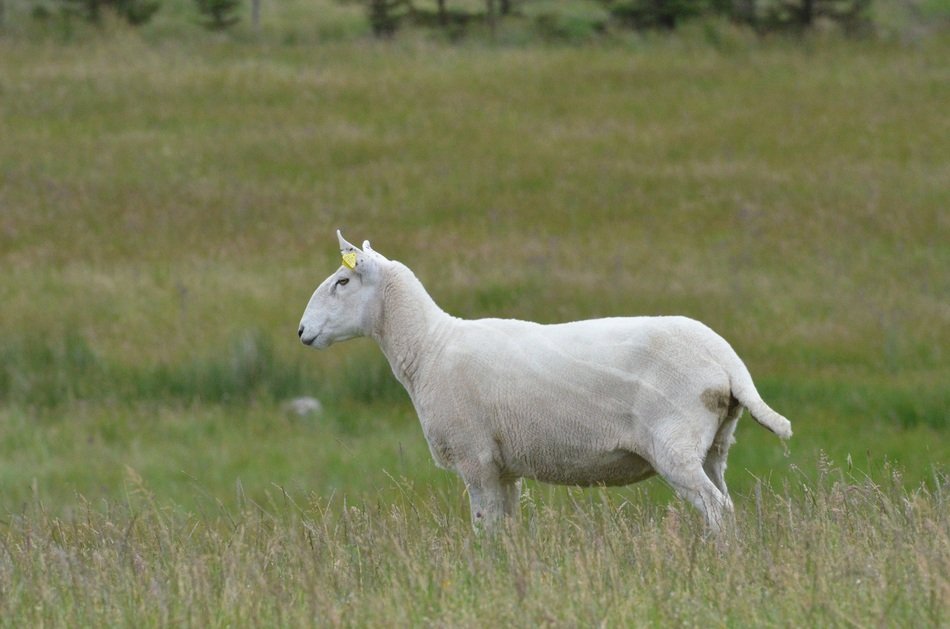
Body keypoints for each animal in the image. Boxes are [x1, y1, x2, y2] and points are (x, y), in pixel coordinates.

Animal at [298, 231, 792, 534]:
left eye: (342, 281)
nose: (302, 331)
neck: (428, 348)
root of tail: (728, 361)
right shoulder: (503, 466)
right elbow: (504, 527)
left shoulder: (475, 457)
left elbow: (484, 527)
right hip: (715, 445)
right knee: (726, 503)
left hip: (676, 442)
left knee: (717, 509)